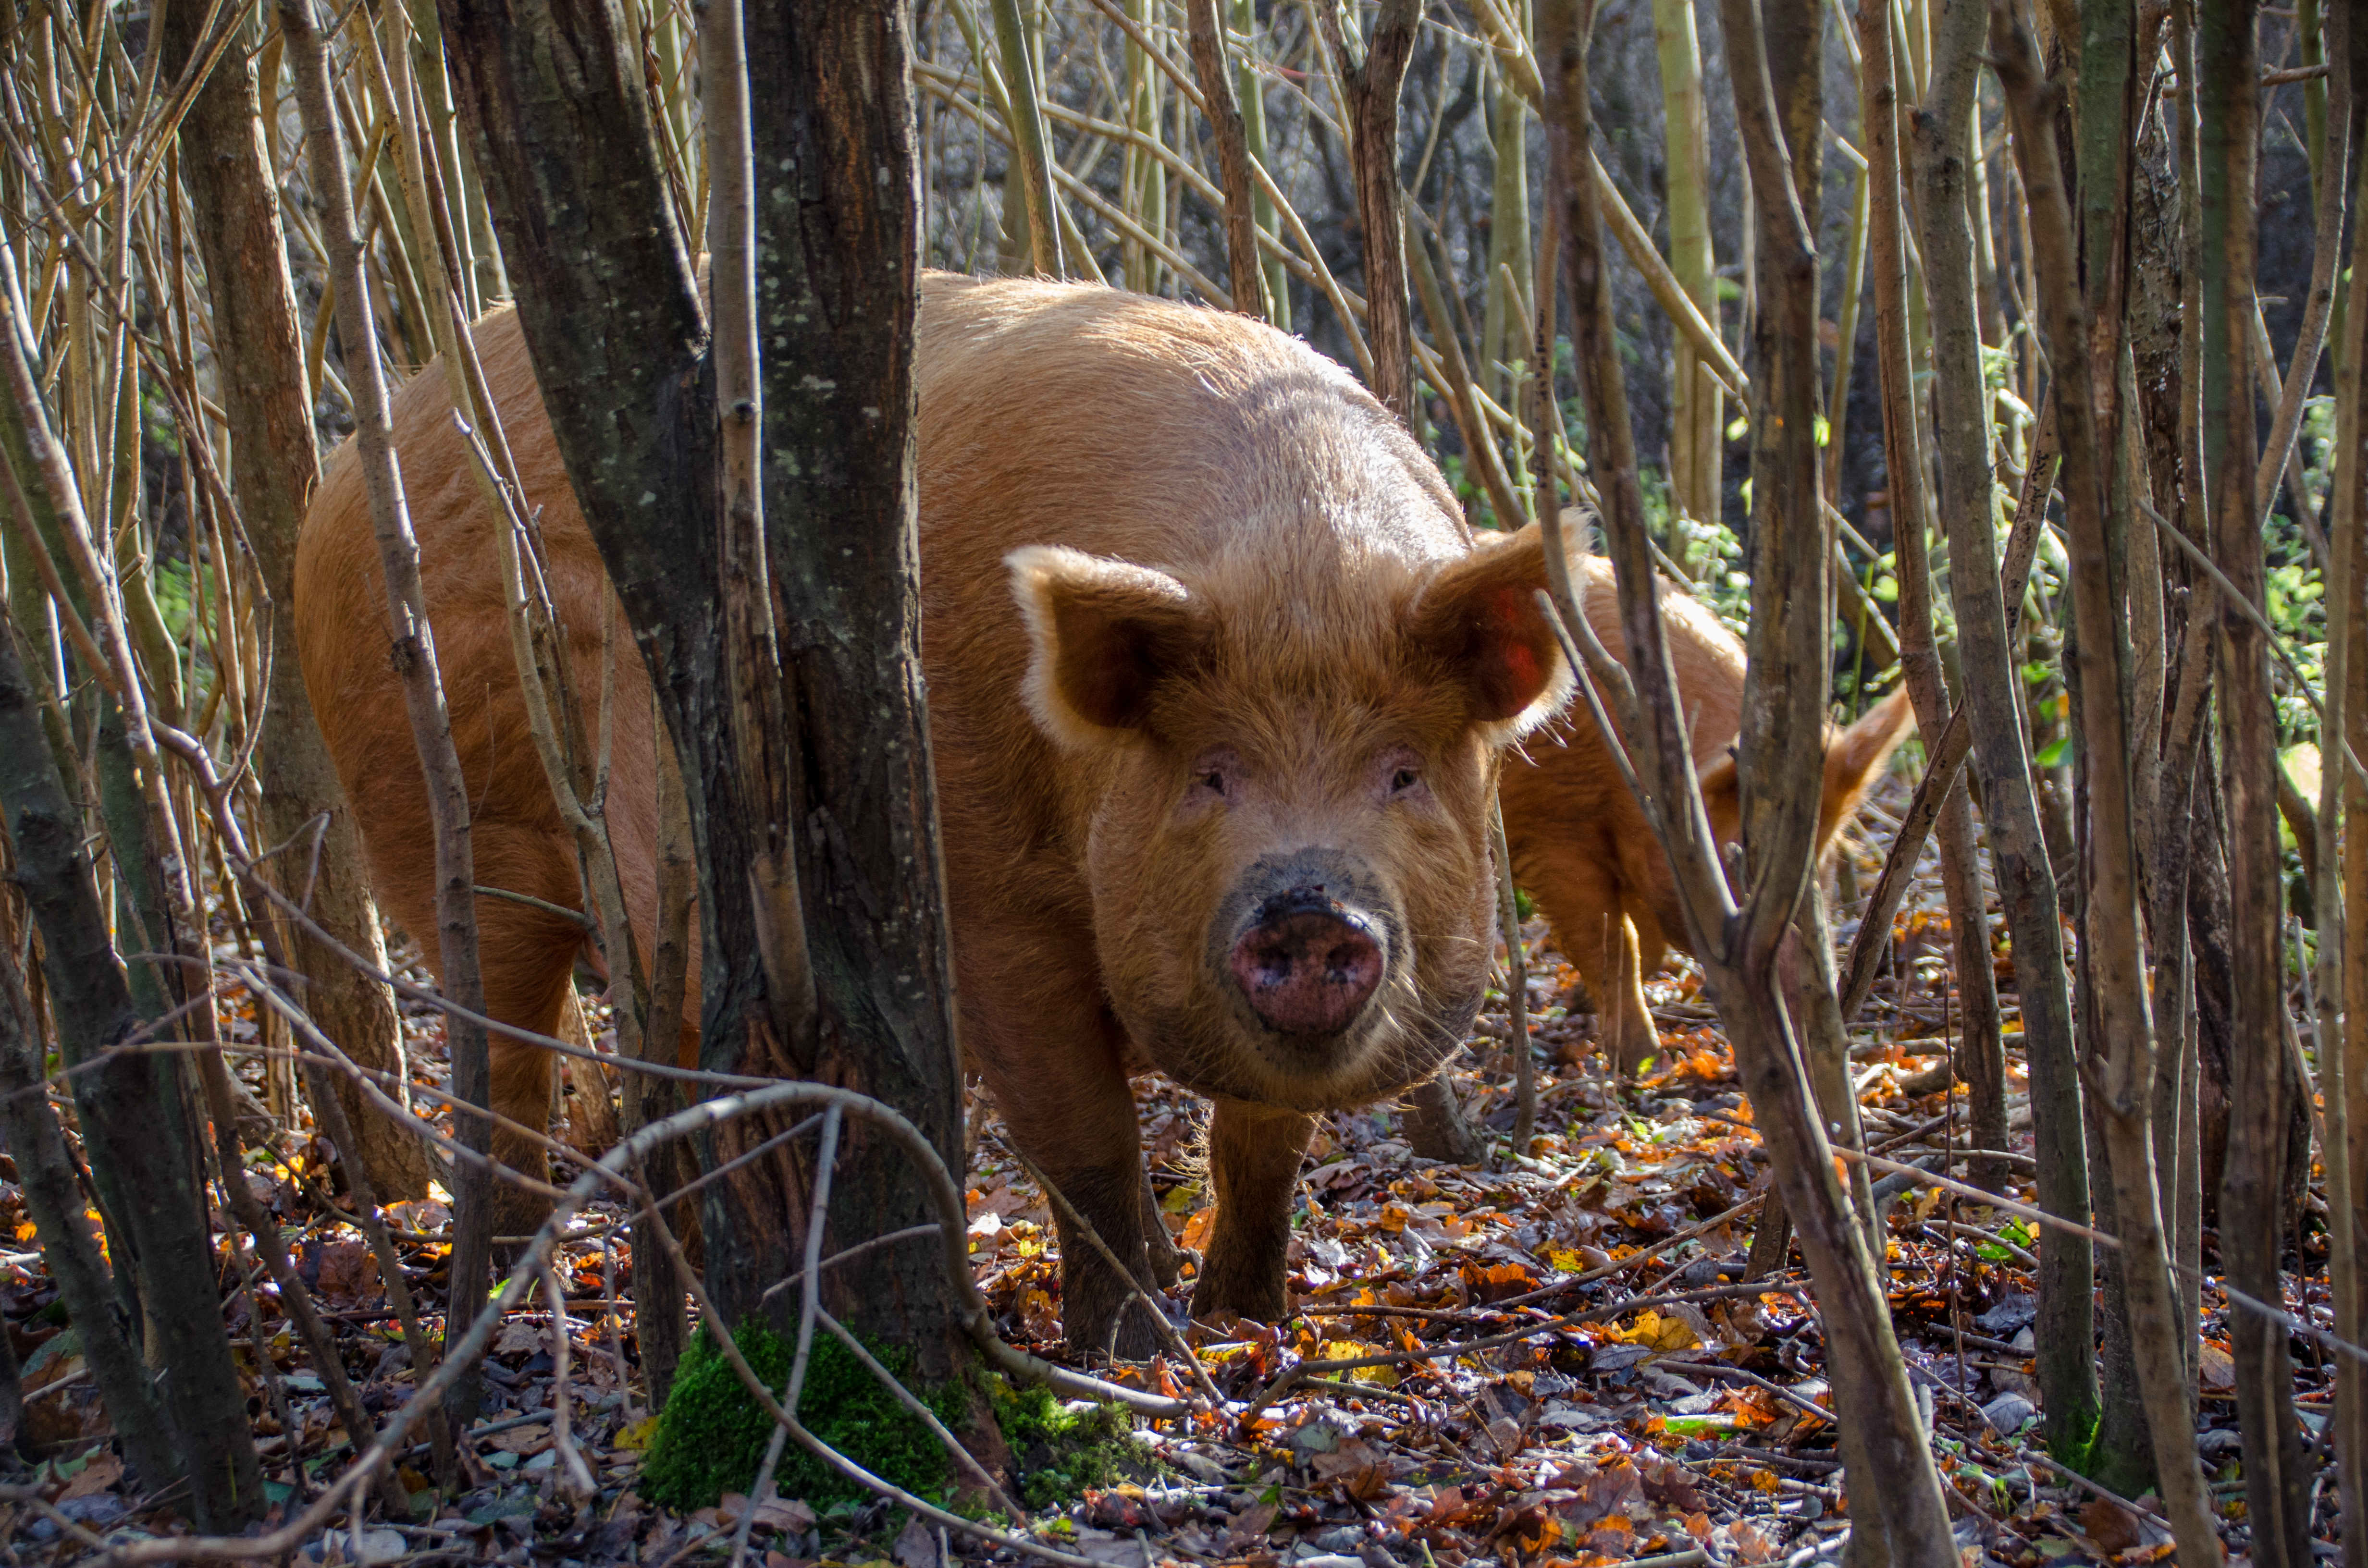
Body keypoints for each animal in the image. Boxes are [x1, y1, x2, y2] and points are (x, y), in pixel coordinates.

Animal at [296, 272, 1573, 1355]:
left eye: (1402, 772)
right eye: (1212, 773)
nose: (1308, 906)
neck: (1294, 568)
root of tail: (356, 454)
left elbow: (1262, 1143)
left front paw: (1243, 1325)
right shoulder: (987, 901)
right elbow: (1084, 1137)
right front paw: (1135, 1356)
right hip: (451, 821)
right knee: (508, 1067)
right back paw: (521, 1303)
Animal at [1496, 559, 1915, 1074]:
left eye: (1825, 871)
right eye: (1738, 862)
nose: (1810, 1034)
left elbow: (1646, 939)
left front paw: (1582, 1005)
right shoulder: (1552, 835)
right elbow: (1611, 943)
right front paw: (1645, 1063)